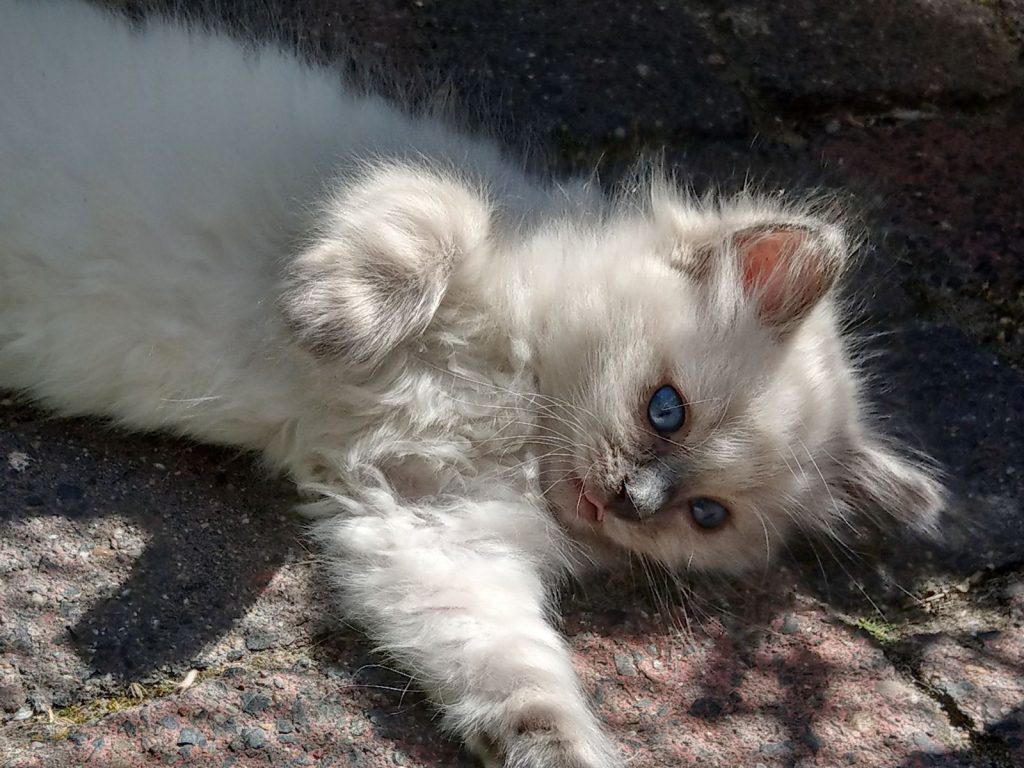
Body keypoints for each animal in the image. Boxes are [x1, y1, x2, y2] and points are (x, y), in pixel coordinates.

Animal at [0, 1, 942, 768]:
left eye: (704, 515)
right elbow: (429, 223)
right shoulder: (416, 186)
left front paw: (555, 752)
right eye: (665, 411)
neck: (516, 415)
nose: (632, 500)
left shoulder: (430, 535)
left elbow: (519, 680)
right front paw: (328, 320)